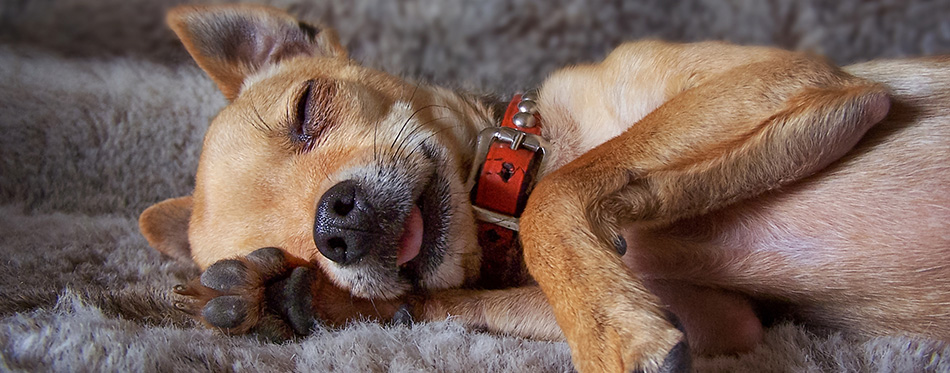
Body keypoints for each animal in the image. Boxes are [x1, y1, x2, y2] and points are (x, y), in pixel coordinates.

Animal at [141, 3, 950, 372]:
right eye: (294, 249)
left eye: (308, 109)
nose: (331, 228)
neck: (510, 188)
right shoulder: (719, 318)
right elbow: (465, 296)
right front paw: (292, 298)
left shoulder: (795, 79)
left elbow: (562, 196)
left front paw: (615, 337)